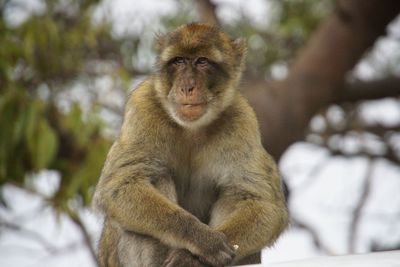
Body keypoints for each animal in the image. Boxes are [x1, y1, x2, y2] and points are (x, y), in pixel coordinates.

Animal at [92, 23, 290, 267]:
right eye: (178, 61)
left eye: (202, 61)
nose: (187, 87)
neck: (192, 128)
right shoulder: (142, 107)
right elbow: (119, 186)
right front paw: (202, 239)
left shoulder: (243, 120)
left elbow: (263, 203)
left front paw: (190, 257)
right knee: (156, 177)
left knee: (235, 194)